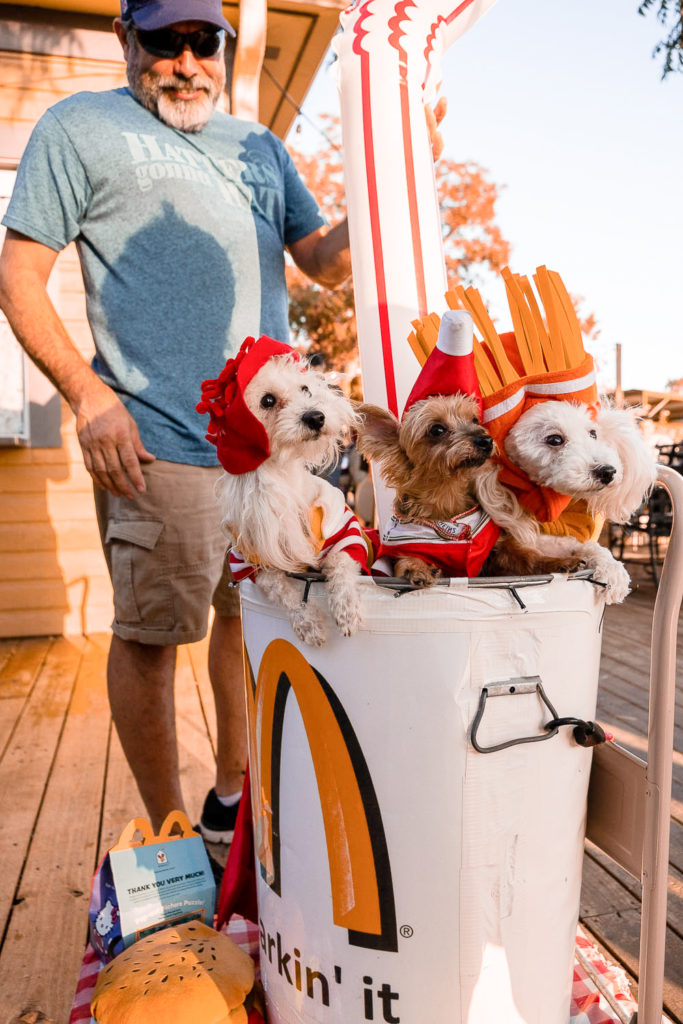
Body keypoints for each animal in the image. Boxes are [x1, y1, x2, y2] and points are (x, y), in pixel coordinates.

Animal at [215, 348, 366, 643]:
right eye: (268, 400)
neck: (286, 479)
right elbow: (281, 589)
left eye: (305, 389)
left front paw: (347, 610)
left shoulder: (345, 530)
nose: (316, 416)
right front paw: (308, 623)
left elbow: (341, 562)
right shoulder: (251, 561)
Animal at [493, 399, 659, 602]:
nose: (608, 471)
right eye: (555, 439)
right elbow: (525, 559)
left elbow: (592, 547)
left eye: (593, 433)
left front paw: (612, 571)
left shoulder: (565, 541)